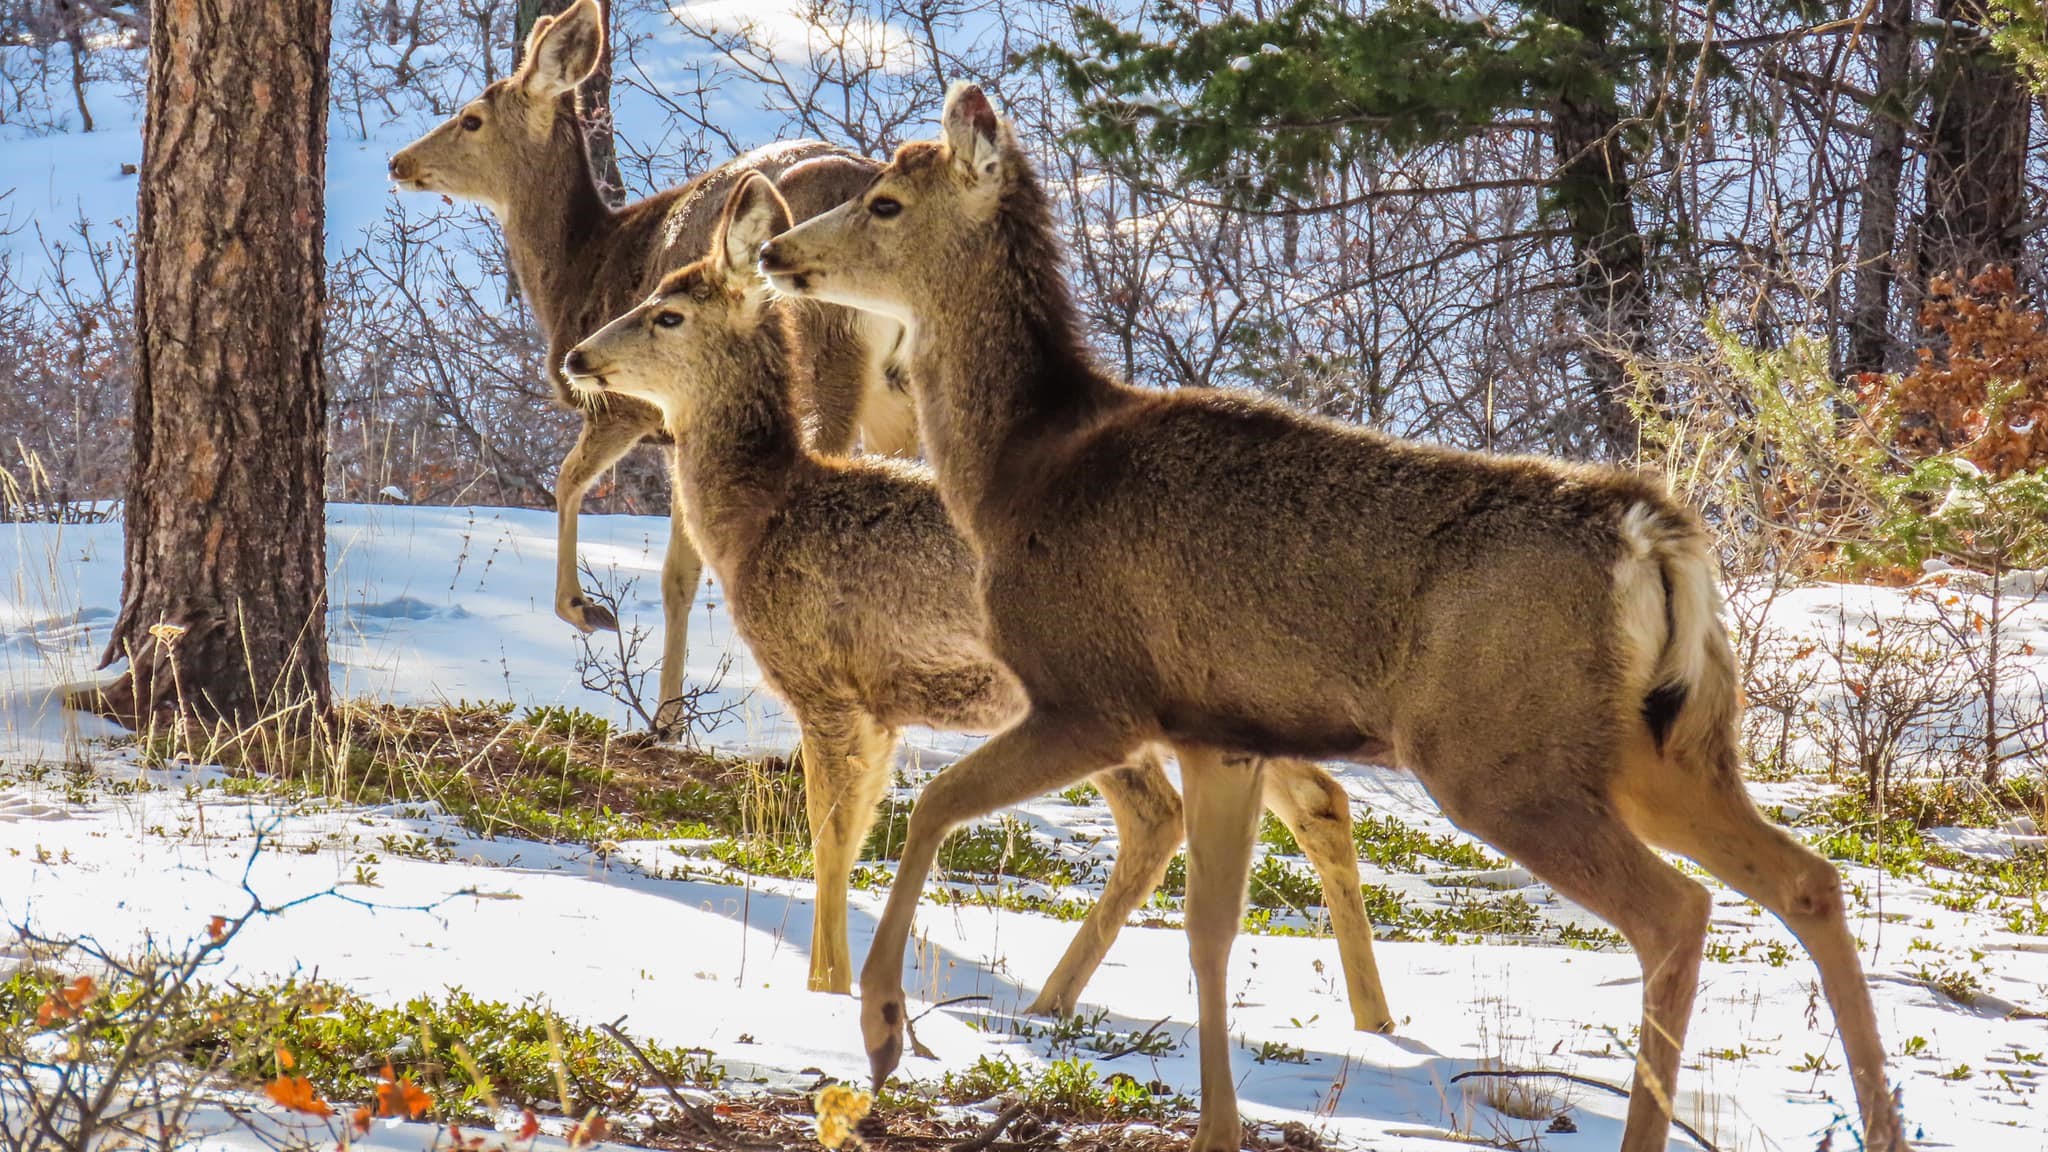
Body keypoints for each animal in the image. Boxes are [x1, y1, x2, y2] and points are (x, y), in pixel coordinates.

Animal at [386, 0, 914, 732]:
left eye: (471, 118)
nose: (398, 161)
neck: (579, 270)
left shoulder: (631, 403)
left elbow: (572, 487)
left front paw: (597, 624)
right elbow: (681, 575)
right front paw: (670, 713)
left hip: (828, 353)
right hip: (906, 384)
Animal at [558, 172, 1394, 1022]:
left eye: (667, 312)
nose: (577, 356)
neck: (764, 516)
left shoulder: (827, 685)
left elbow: (830, 841)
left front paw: (824, 986)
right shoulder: (881, 708)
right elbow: (849, 838)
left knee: (1186, 811)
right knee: (1300, 801)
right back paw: (1368, 1019)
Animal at [758, 84, 1912, 1152]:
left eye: (886, 202)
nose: (774, 249)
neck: (1016, 475)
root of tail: (1653, 534)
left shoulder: (1094, 693)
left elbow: (934, 805)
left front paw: (880, 1027)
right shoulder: (1219, 731)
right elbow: (1208, 931)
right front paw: (1217, 1128)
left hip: (1498, 754)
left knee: (1674, 912)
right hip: (1666, 745)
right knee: (1808, 881)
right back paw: (1881, 1121)